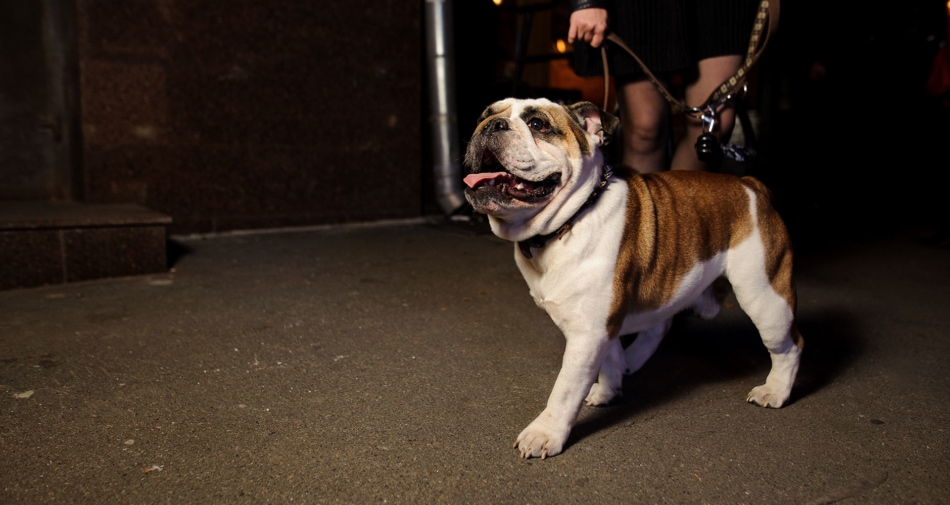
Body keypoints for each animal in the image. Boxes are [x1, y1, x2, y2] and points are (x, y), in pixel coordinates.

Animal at [464, 97, 808, 456]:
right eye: (483, 116)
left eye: (538, 124)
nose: (491, 126)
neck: (569, 220)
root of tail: (751, 185)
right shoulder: (602, 327)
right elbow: (609, 358)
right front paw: (608, 389)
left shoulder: (587, 333)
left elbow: (565, 389)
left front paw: (545, 433)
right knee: (661, 322)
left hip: (764, 296)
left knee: (790, 346)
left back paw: (776, 390)